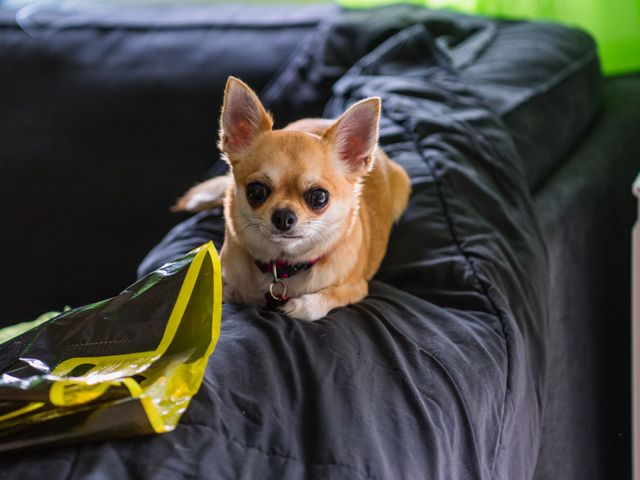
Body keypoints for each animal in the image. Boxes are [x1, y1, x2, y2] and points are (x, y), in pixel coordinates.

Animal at [174, 77, 410, 320]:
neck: (281, 267)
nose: (283, 217)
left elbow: (319, 302)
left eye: (319, 197)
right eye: (255, 191)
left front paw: (297, 306)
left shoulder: (358, 288)